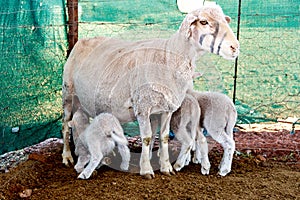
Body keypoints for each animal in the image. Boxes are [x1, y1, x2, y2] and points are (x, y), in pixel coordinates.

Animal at [61, 4, 239, 178]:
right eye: (203, 22)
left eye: (225, 20)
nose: (235, 47)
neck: (169, 57)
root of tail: (82, 40)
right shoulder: (143, 107)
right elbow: (146, 138)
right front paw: (146, 169)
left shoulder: (167, 109)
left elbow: (164, 137)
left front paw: (166, 167)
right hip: (67, 93)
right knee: (65, 125)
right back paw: (67, 157)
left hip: (86, 102)